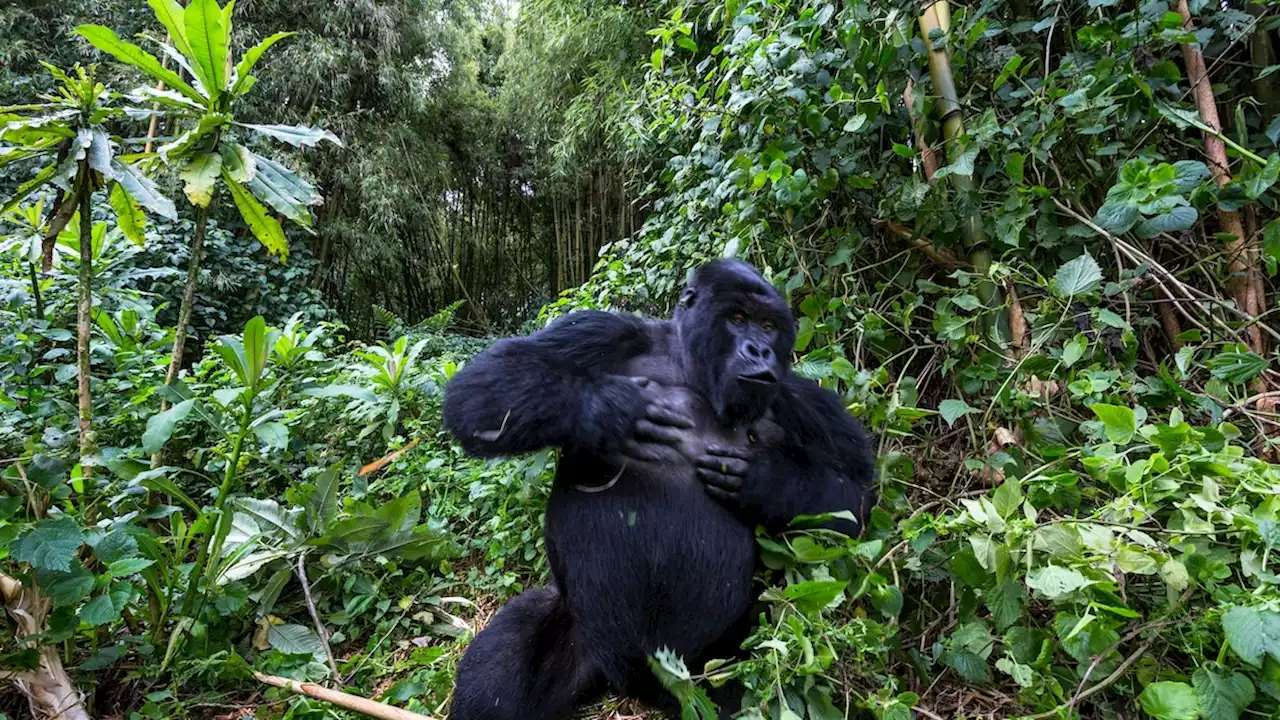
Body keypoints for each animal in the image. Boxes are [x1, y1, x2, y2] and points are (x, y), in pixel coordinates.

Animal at [437, 258, 870, 717]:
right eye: (738, 318)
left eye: (769, 326)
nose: (759, 350)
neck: (694, 373)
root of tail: (630, 682)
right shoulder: (603, 330)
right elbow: (485, 387)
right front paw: (612, 409)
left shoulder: (799, 398)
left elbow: (858, 498)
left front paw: (766, 480)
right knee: (501, 669)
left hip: (706, 669)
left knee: (743, 689)